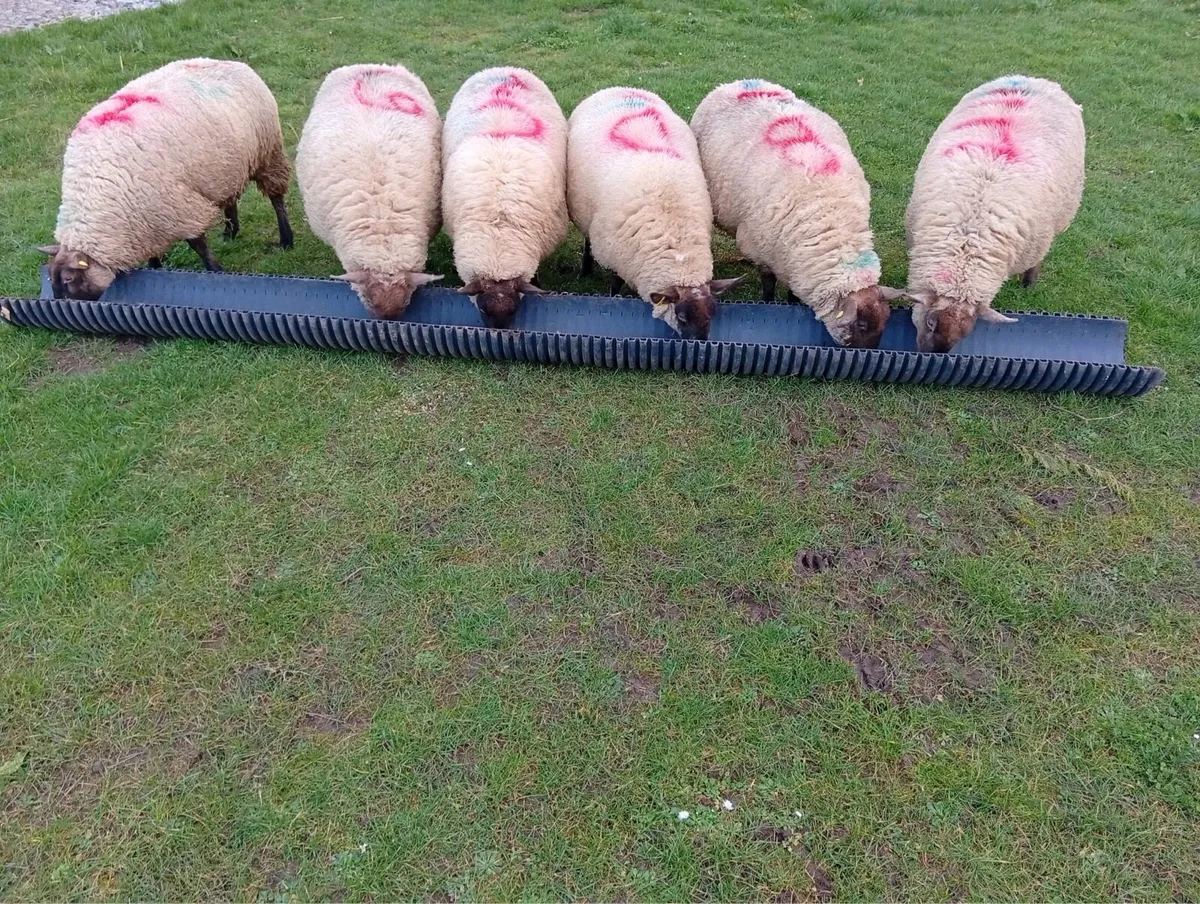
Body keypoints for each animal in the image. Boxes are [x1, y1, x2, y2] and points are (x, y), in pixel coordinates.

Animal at [41, 58, 293, 301]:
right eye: (51, 278)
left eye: (69, 279)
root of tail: (229, 62)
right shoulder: (147, 216)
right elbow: (153, 249)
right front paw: (155, 269)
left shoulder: (176, 205)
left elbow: (197, 244)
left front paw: (215, 270)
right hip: (223, 167)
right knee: (230, 197)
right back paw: (230, 233)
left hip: (268, 153)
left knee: (276, 198)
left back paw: (286, 240)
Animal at [568, 87, 742, 340]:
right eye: (682, 317)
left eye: (713, 314)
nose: (701, 344)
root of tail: (620, 88)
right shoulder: (616, 252)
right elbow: (615, 283)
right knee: (587, 241)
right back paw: (585, 270)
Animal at [691, 79, 902, 348]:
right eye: (861, 325)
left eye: (885, 322)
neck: (831, 218)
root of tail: (737, 82)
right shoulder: (761, 247)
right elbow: (768, 283)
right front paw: (768, 304)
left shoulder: (795, 258)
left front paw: (793, 303)